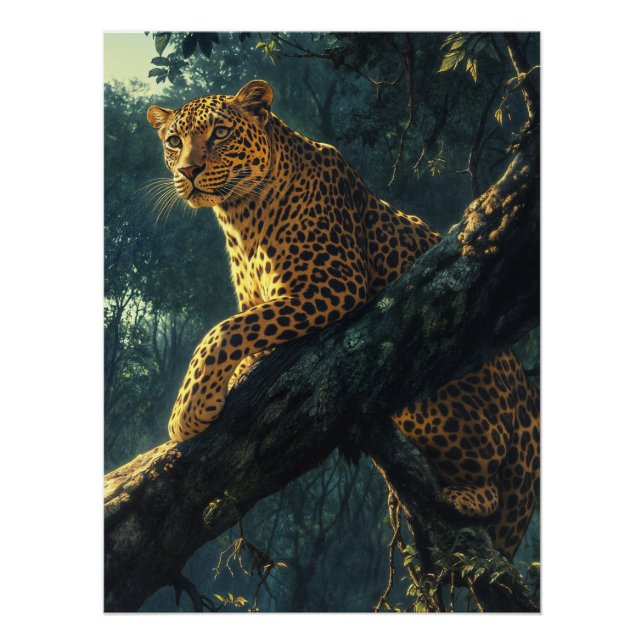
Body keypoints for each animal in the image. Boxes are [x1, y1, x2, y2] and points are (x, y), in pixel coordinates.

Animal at [146, 80, 540, 559]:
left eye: (220, 133)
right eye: (174, 141)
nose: (188, 171)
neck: (241, 216)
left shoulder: (332, 285)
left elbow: (224, 330)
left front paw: (188, 411)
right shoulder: (261, 296)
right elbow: (243, 330)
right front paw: (230, 378)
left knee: (487, 491)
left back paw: (461, 495)